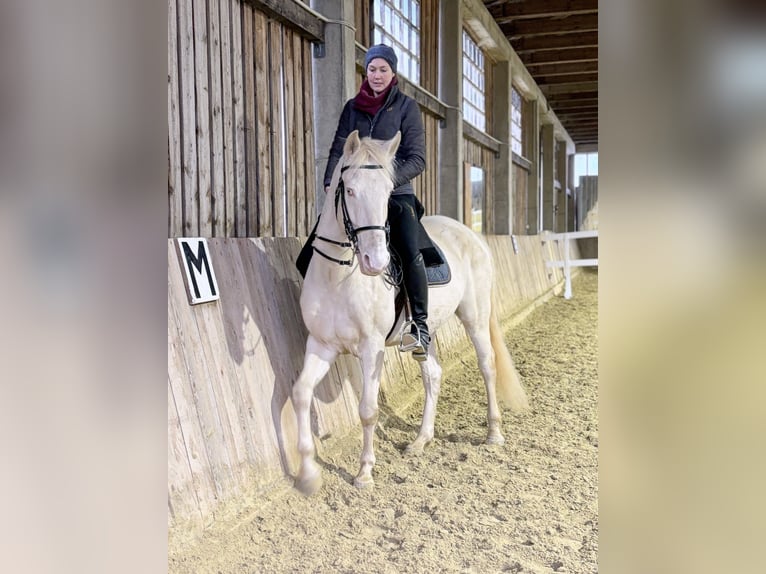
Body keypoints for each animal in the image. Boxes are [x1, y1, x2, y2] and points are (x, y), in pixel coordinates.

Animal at [292, 130, 532, 496]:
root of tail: (470, 234)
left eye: (387, 193)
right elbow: (301, 393)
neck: (339, 275)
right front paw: (307, 474)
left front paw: (364, 472)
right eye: (350, 190)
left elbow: (368, 410)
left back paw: (493, 433)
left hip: (475, 316)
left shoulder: (371, 348)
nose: (375, 263)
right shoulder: (321, 345)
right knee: (433, 374)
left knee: (487, 365)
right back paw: (421, 440)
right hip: (425, 331)